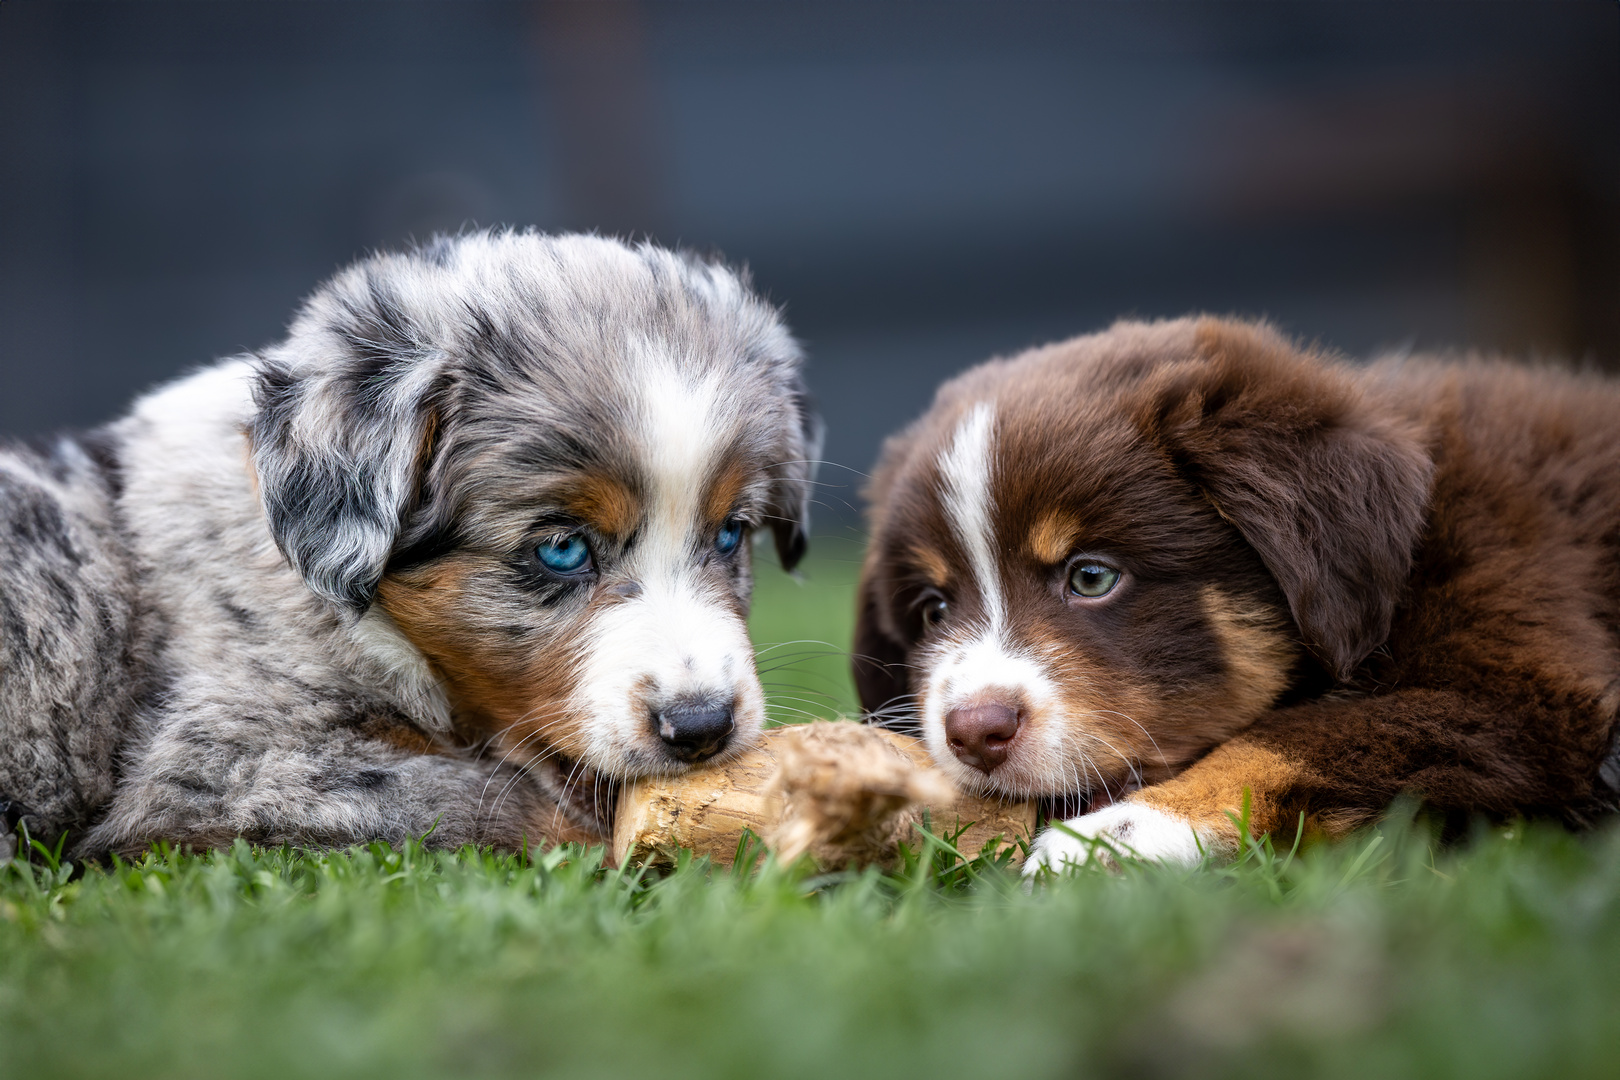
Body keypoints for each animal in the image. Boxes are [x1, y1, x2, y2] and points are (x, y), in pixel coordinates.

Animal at [855, 314, 1613, 867]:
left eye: (1092, 577)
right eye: (934, 610)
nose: (974, 733)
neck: (1414, 558)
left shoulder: (1525, 691)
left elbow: (1299, 734)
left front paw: (1114, 836)